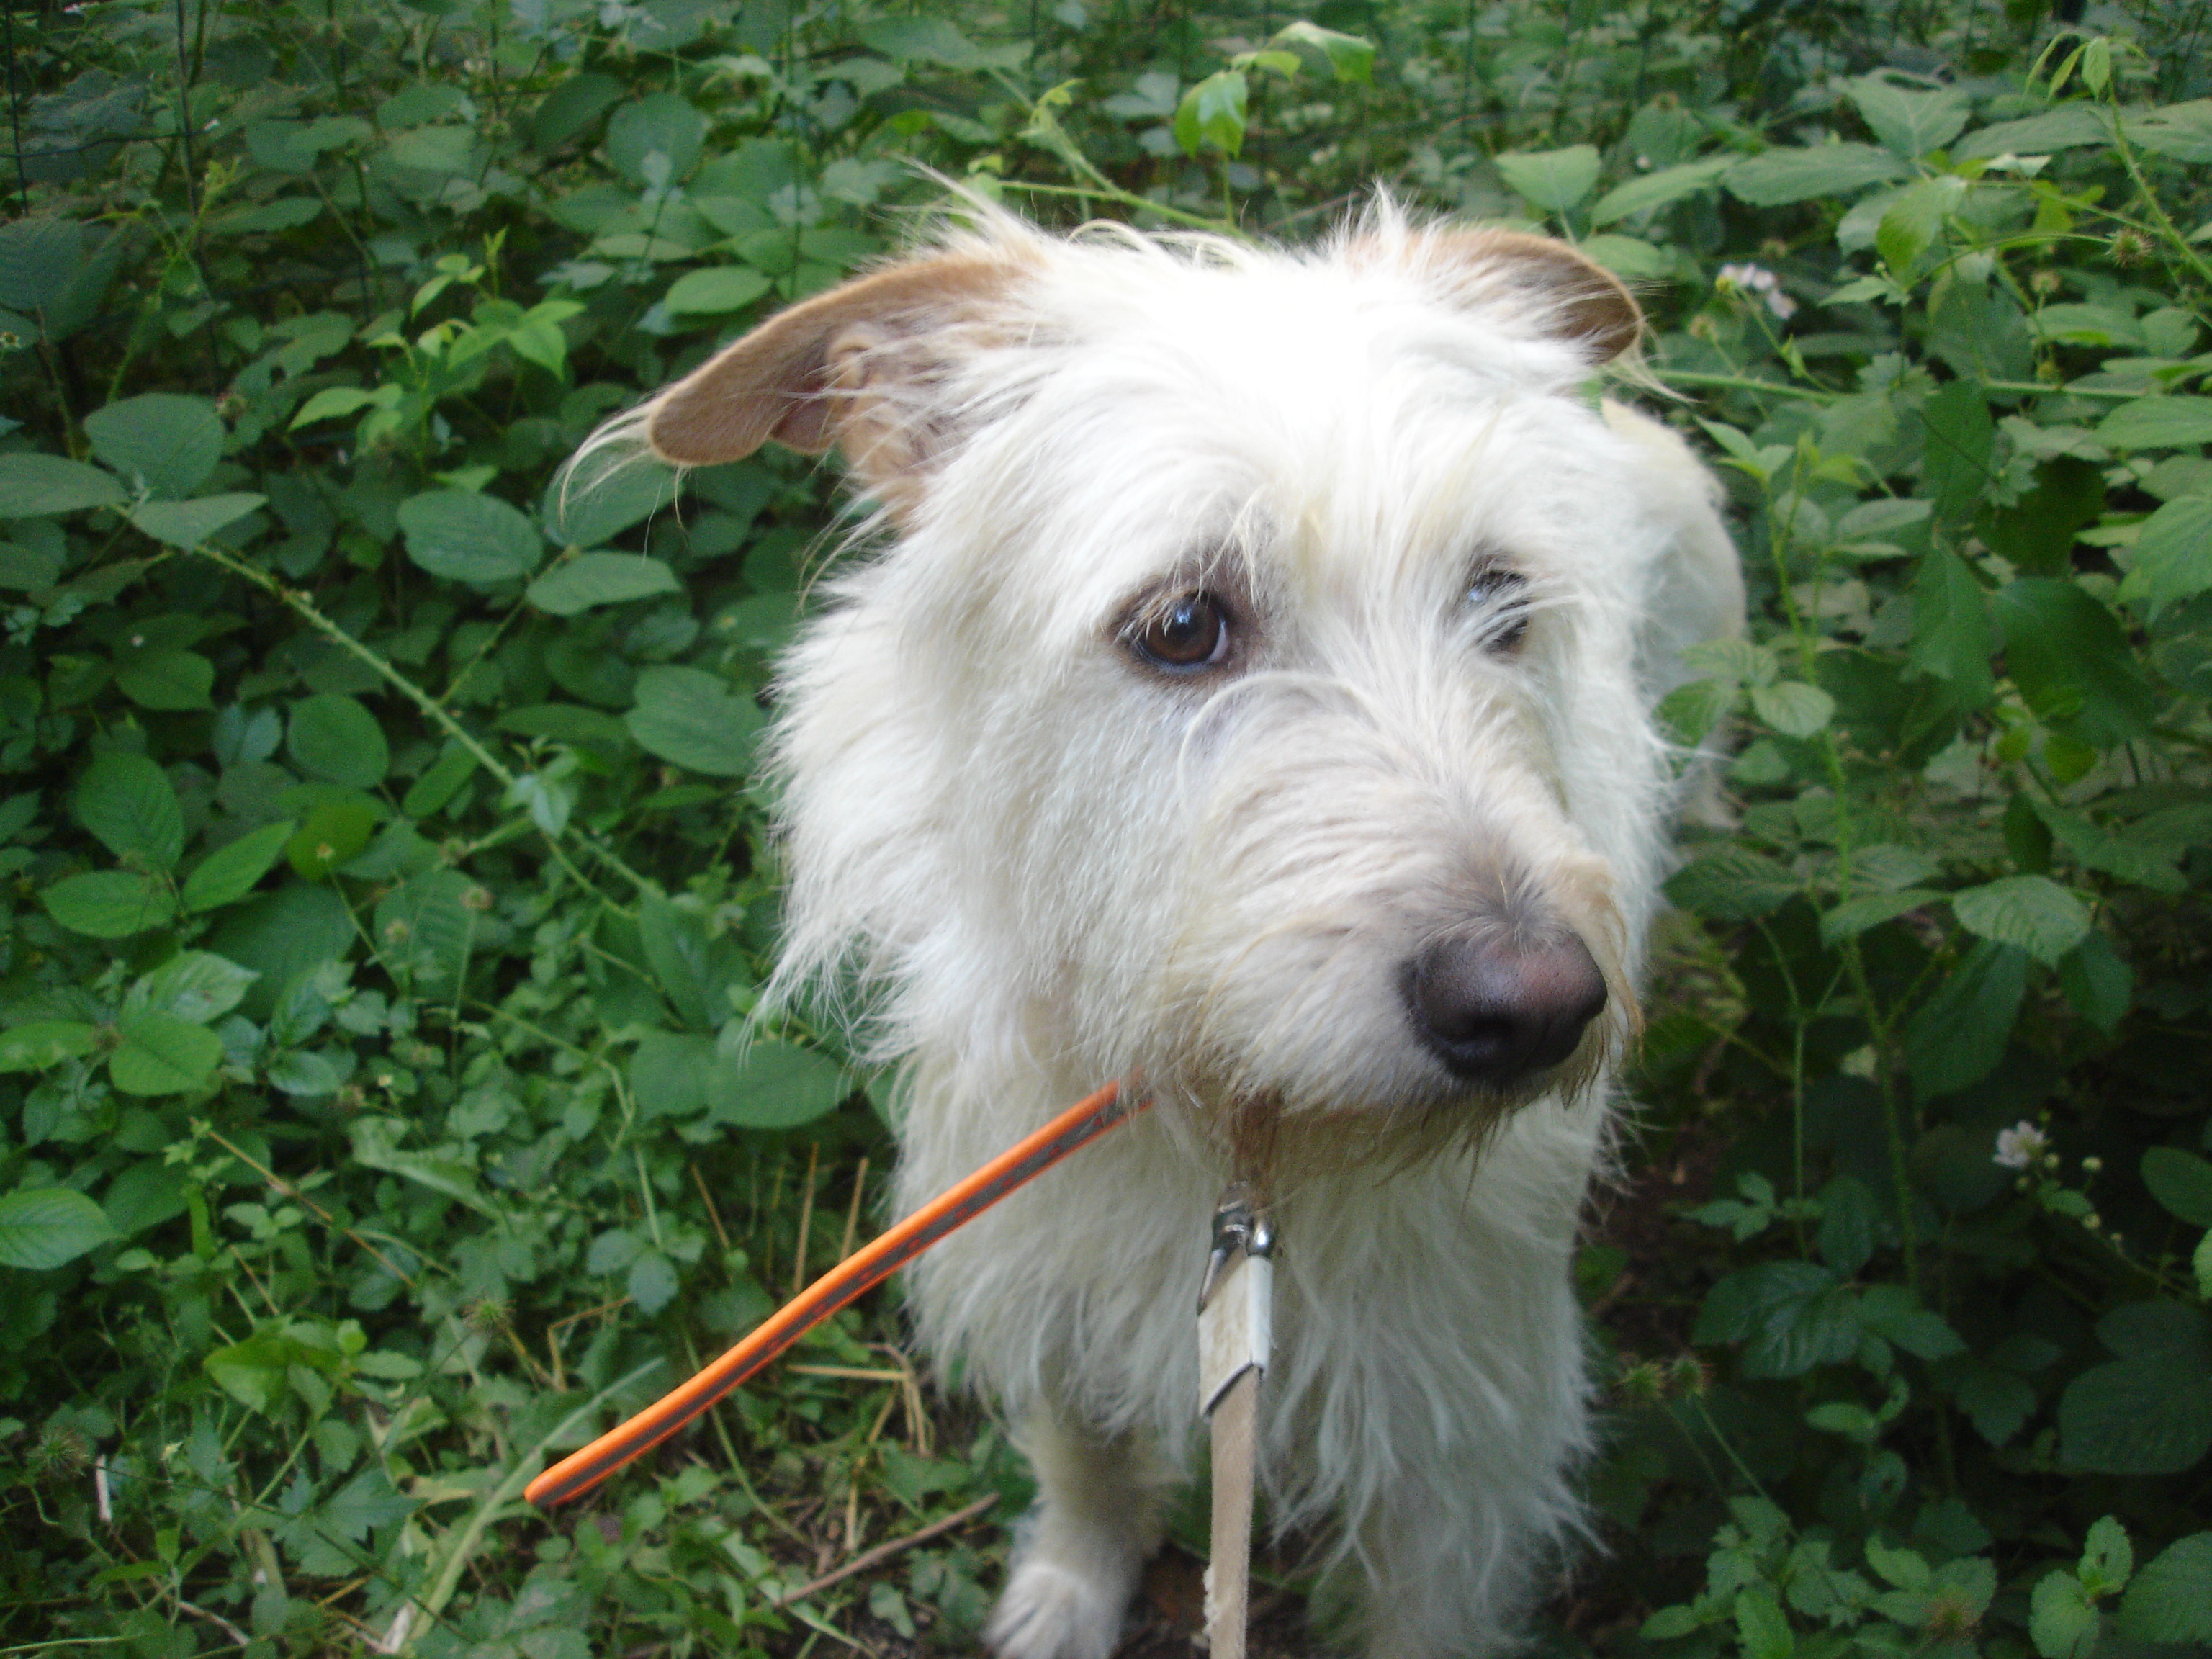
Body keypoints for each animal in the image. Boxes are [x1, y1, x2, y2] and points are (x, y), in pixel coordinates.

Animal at [591, 202, 1742, 1659]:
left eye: (1502, 599)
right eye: (1183, 623)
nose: (1537, 1006)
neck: (1239, 1135)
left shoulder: (1461, 1431)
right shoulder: (1049, 1276)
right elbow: (1085, 1457)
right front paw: (1072, 1589)